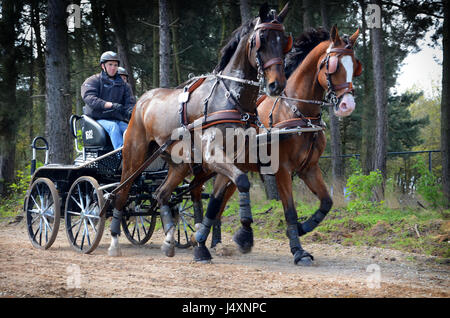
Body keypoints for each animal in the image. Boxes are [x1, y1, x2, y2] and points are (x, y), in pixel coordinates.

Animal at [107, 1, 294, 258]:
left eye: (284, 40)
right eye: (262, 39)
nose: (277, 85)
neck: (229, 97)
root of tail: (142, 101)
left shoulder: (230, 159)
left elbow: (222, 195)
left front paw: (209, 241)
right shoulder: (213, 155)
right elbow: (241, 181)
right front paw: (244, 236)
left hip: (179, 164)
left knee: (161, 194)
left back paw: (169, 240)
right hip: (135, 156)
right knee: (121, 192)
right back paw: (114, 241)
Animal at [190, 24, 362, 264]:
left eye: (355, 65)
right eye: (333, 65)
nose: (348, 105)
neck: (297, 112)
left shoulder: (309, 168)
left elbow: (327, 203)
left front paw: (302, 228)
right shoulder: (282, 169)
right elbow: (289, 210)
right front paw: (298, 250)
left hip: (231, 171)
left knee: (218, 202)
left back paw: (215, 242)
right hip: (207, 166)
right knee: (194, 191)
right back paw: (197, 237)